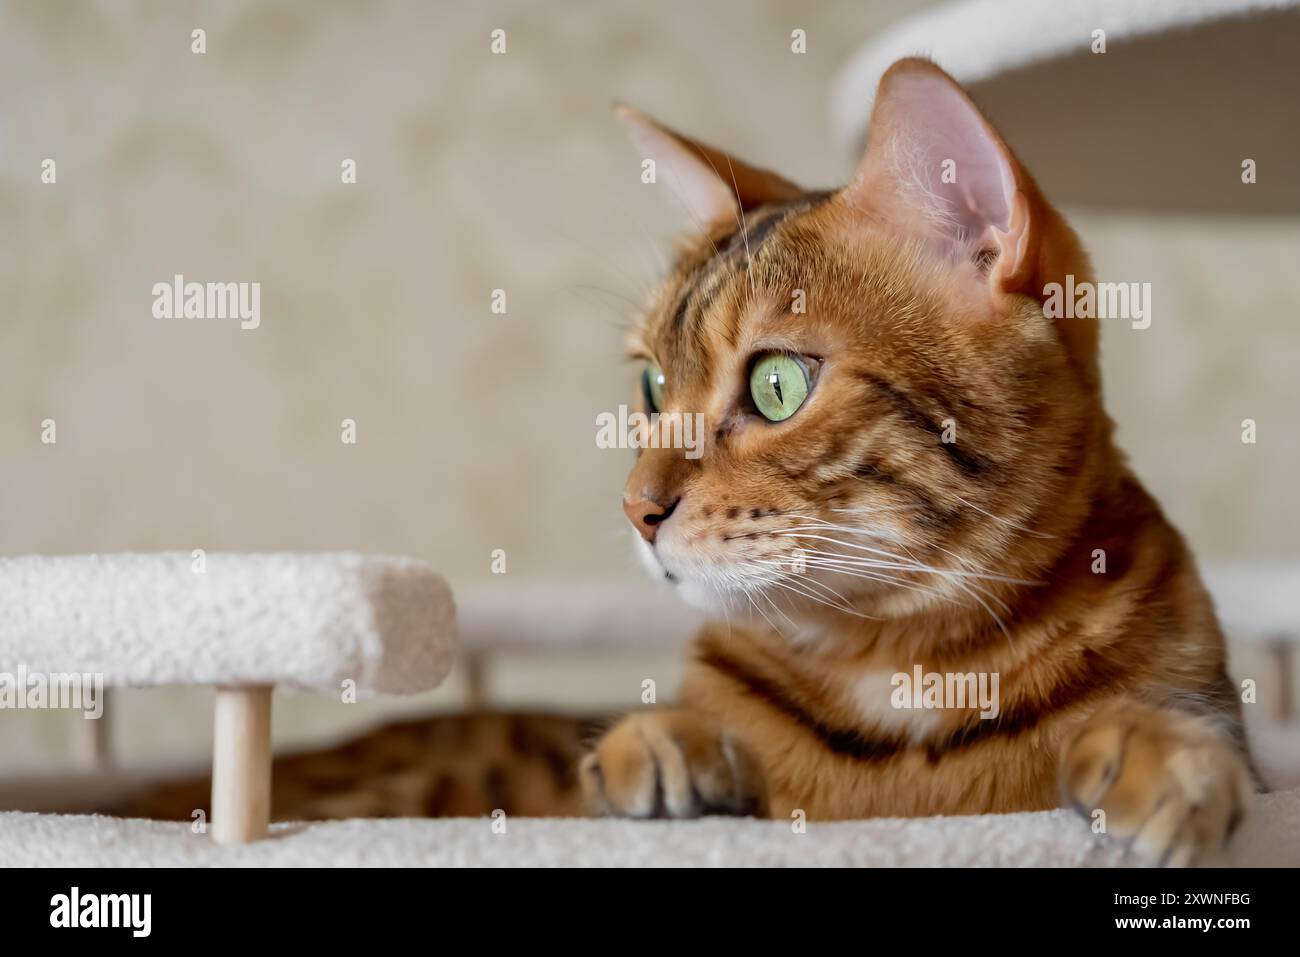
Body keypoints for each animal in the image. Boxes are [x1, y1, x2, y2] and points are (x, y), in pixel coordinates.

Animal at [122, 57, 1248, 868]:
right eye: (653, 388)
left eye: (778, 385)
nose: (635, 507)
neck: (902, 666)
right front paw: (666, 749)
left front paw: (1166, 761)